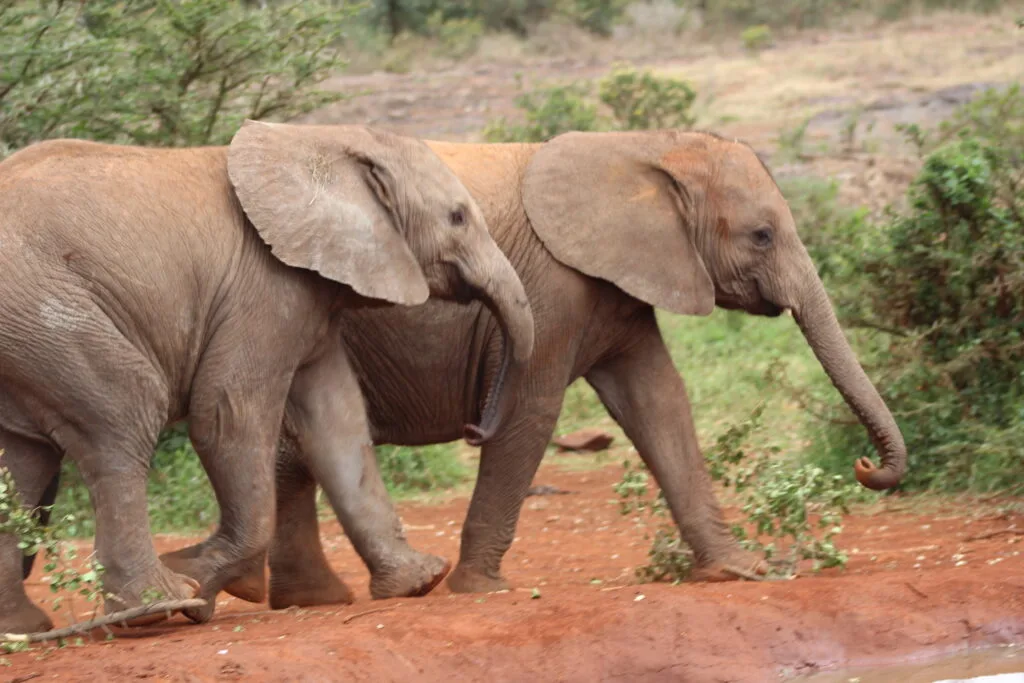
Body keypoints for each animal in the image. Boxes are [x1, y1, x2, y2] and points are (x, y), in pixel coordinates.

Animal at [0, 120, 535, 635]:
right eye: (458, 217)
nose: (473, 429)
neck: (319, 138)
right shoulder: (263, 288)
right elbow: (228, 416)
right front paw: (203, 587)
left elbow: (338, 424)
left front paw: (421, 581)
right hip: (48, 313)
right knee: (123, 415)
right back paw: (158, 608)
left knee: (22, 461)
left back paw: (22, 627)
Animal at [27, 128, 906, 612]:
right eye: (762, 235)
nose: (867, 469)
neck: (640, 149)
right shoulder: (556, 287)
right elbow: (536, 414)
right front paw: (482, 591)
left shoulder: (620, 290)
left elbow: (662, 404)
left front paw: (739, 571)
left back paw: (309, 599)